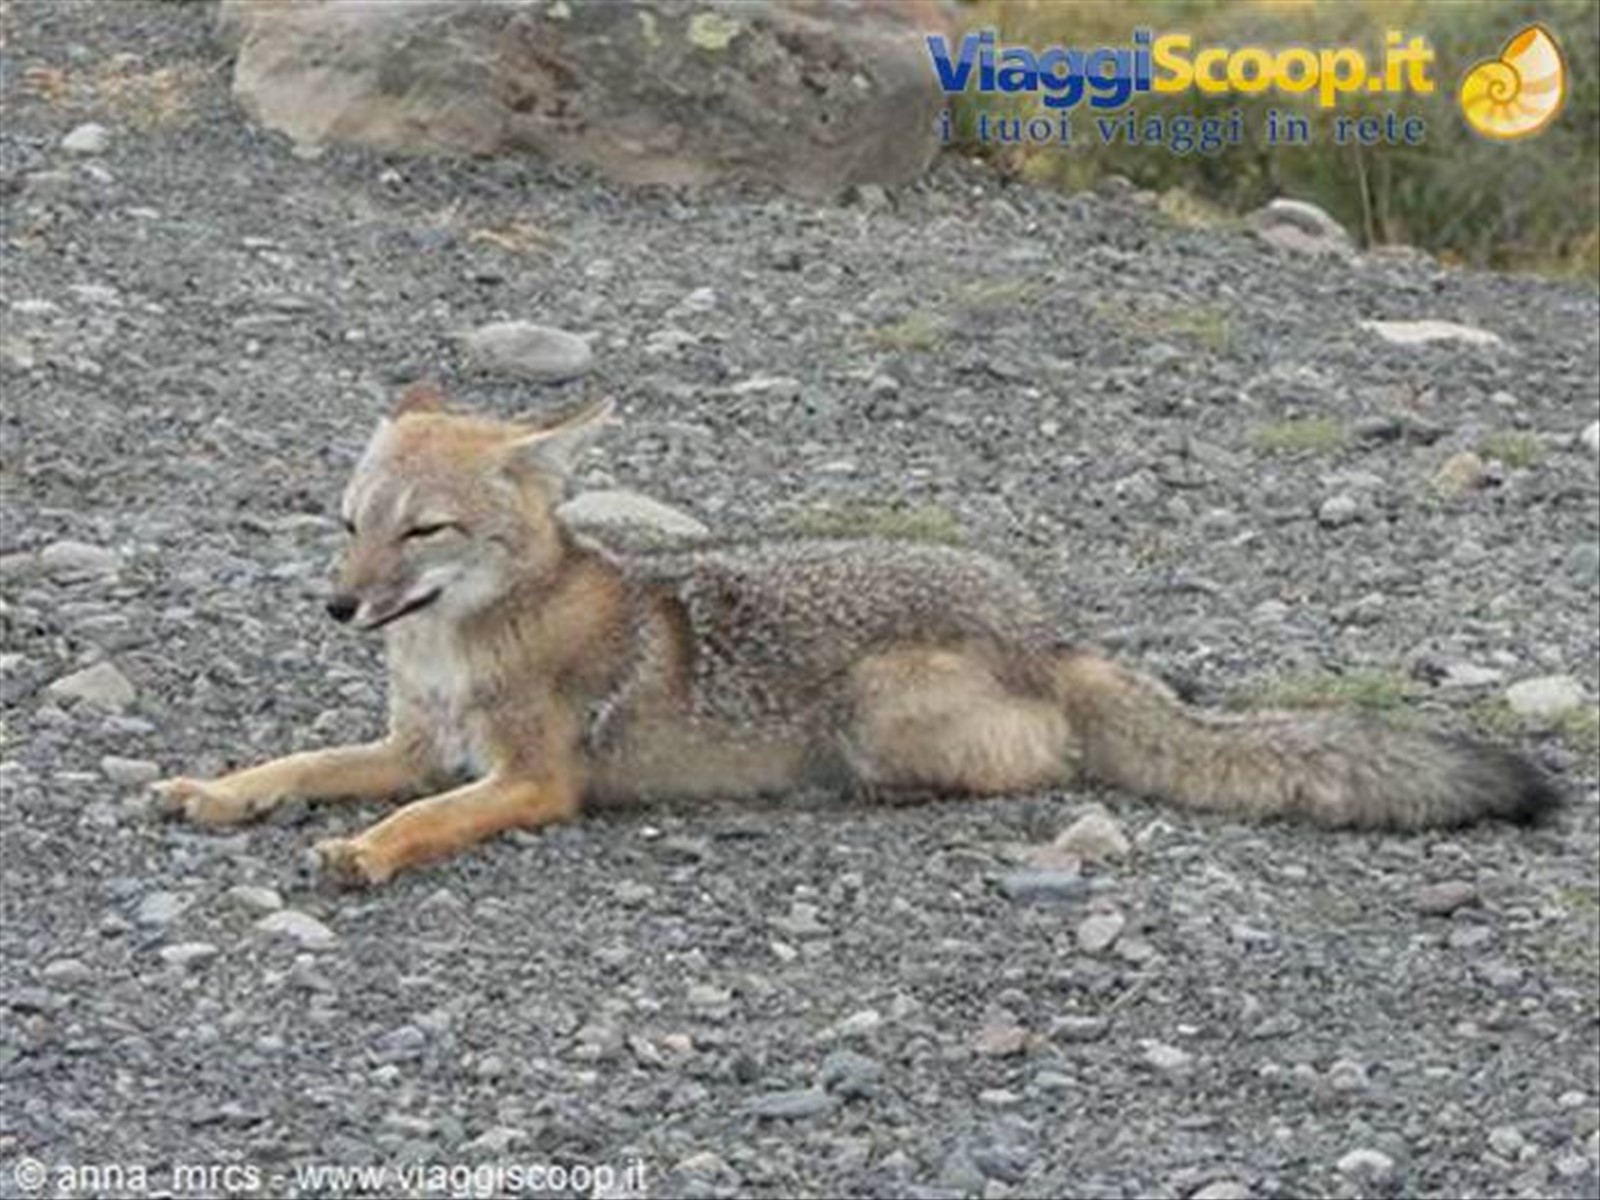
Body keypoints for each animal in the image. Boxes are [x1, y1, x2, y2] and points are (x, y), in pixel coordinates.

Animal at [154, 382, 1560, 886]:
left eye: (424, 533)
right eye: (348, 525)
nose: (336, 606)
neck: (456, 656)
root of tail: (1050, 629)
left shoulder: (532, 782)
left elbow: (429, 818)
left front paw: (367, 852)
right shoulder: (409, 743)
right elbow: (301, 764)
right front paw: (217, 790)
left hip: (875, 712)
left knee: (1037, 767)